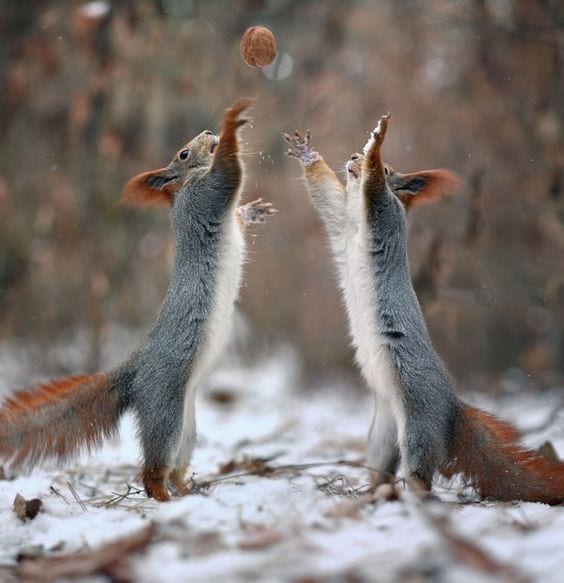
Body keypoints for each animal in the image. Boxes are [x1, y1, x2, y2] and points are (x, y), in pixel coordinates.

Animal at [0, 100, 278, 502]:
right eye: (182, 153)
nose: (207, 132)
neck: (185, 187)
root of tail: (135, 371)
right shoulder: (207, 195)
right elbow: (230, 171)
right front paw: (231, 123)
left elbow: (237, 211)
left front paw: (252, 211)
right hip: (164, 409)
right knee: (151, 471)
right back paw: (163, 496)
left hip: (185, 427)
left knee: (175, 465)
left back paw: (188, 489)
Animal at [284, 117, 564, 502]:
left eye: (391, 169)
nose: (354, 157)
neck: (356, 218)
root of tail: (451, 410)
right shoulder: (340, 221)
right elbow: (324, 194)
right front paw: (308, 154)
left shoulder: (384, 214)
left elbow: (375, 189)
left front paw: (377, 143)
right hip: (383, 433)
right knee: (382, 467)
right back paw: (370, 492)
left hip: (418, 420)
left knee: (421, 473)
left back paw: (411, 494)